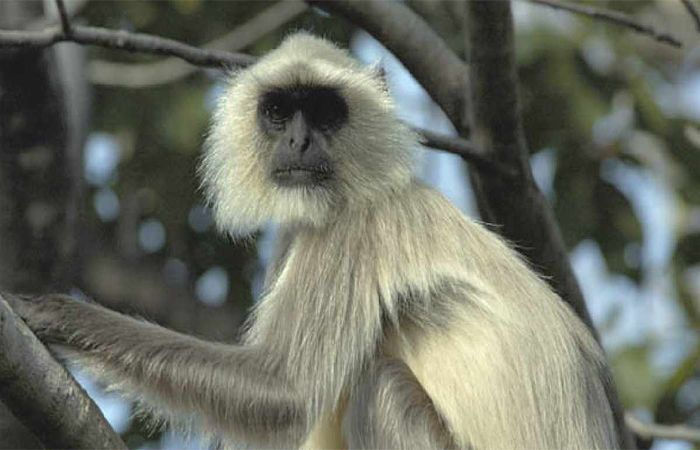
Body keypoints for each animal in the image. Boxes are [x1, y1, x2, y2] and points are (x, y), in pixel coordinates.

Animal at [8, 32, 621, 449]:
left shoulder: (354, 228)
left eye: (325, 112)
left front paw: (48, 312)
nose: (300, 142)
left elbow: (285, 391)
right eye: (280, 112)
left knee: (378, 389)